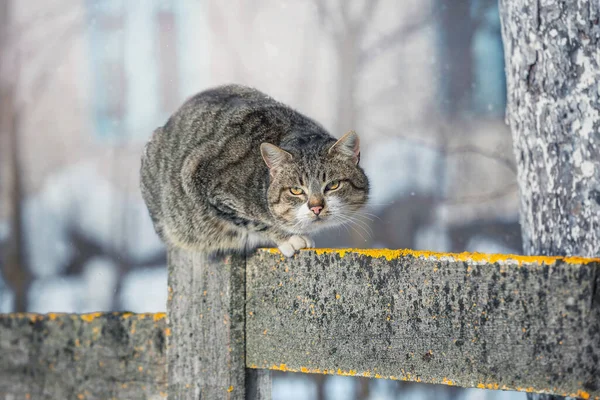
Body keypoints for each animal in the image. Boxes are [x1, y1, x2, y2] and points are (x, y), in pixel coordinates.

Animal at [140, 86, 368, 258]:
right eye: (295, 190)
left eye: (333, 185)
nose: (316, 207)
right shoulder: (201, 181)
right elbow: (254, 222)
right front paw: (288, 237)